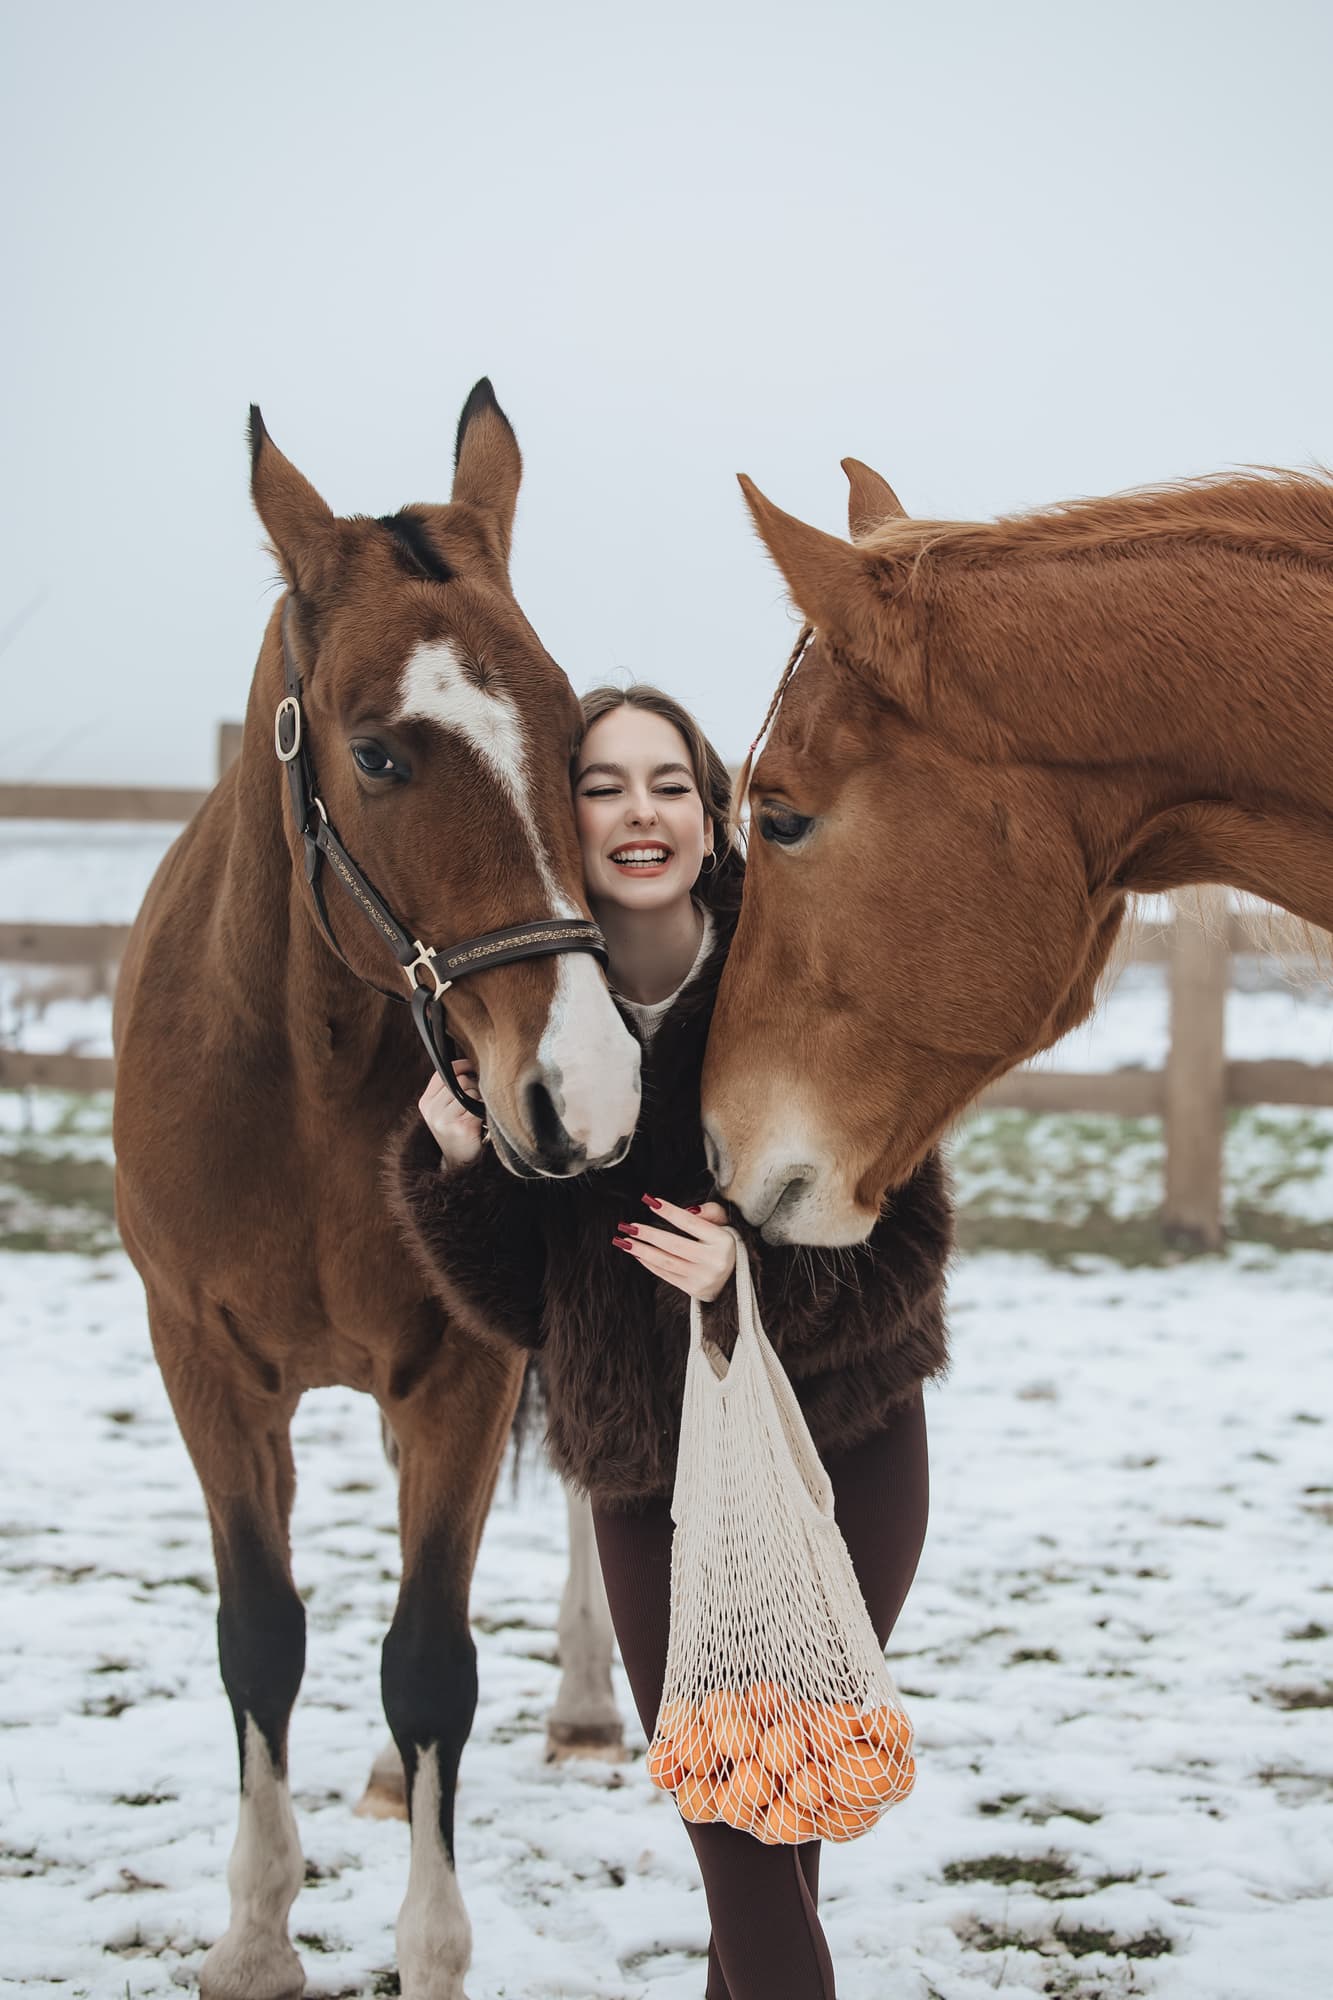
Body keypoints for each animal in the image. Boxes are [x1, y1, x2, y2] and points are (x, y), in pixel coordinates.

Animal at [112, 381, 642, 2000]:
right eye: (378, 754)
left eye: (572, 737)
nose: (585, 1089)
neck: (300, 1068)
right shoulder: (207, 1365)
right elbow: (262, 1636)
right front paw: (253, 1937)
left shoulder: (464, 1371)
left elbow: (430, 1657)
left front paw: (431, 1950)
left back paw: (585, 1707)